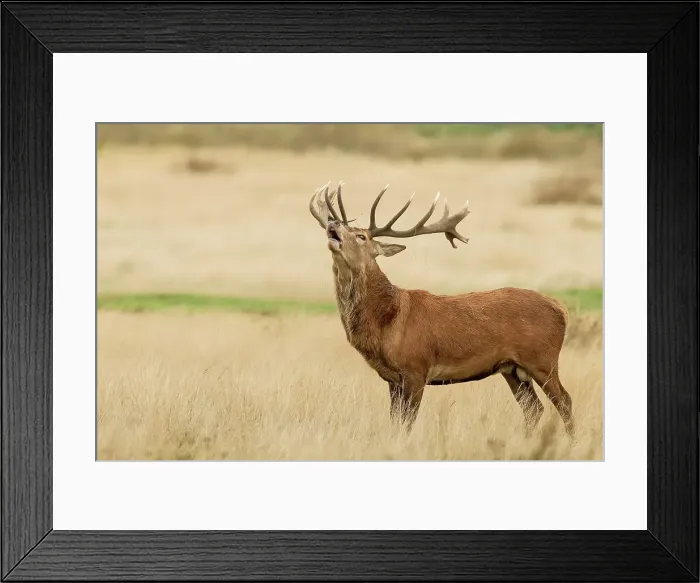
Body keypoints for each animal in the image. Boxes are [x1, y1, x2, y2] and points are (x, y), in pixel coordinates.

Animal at [308, 182, 575, 439]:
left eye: (361, 236)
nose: (333, 223)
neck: (386, 322)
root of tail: (561, 308)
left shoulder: (416, 368)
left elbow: (407, 423)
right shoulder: (393, 379)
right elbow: (395, 422)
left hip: (543, 358)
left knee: (564, 401)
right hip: (512, 369)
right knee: (534, 409)